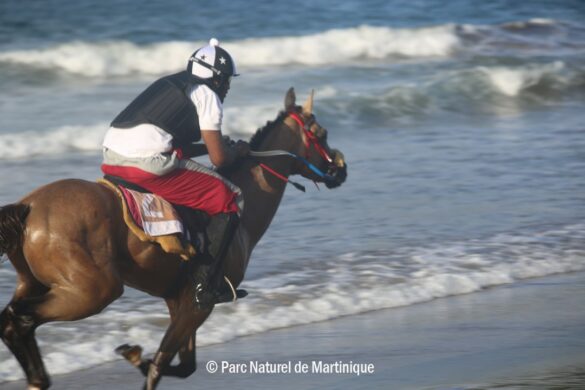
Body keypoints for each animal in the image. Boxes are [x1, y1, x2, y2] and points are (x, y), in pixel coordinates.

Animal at [0, 88, 346, 390]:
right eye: (321, 132)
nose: (340, 169)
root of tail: (29, 206)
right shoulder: (198, 304)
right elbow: (160, 366)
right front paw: (138, 357)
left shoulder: (178, 300)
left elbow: (181, 365)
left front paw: (133, 354)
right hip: (92, 291)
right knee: (20, 318)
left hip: (37, 282)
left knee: (11, 319)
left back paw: (38, 378)